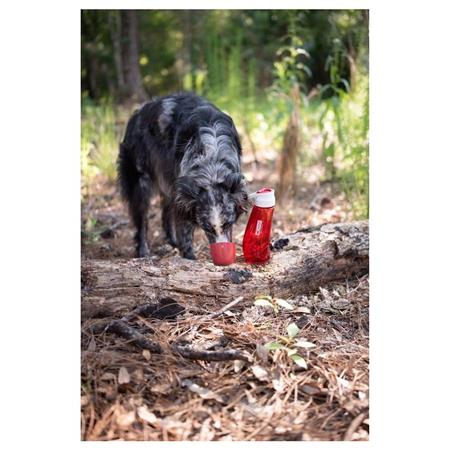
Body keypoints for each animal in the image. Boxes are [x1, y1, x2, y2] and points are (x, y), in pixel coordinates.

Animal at [118, 91, 248, 258]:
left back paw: (172, 242)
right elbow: (185, 228)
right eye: (207, 227)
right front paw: (189, 256)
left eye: (228, 223)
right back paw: (143, 251)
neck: (211, 164)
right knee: (141, 216)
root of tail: (137, 113)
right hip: (139, 177)